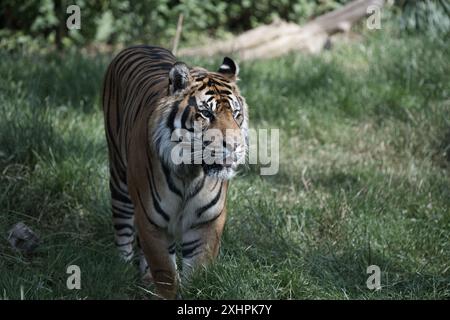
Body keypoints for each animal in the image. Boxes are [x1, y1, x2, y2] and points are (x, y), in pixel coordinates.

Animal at [102, 45, 250, 300]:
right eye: (206, 114)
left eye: (236, 114)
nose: (234, 146)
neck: (190, 173)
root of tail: (140, 45)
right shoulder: (151, 221)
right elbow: (166, 274)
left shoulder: (207, 221)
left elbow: (198, 271)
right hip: (120, 180)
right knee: (123, 228)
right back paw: (122, 271)